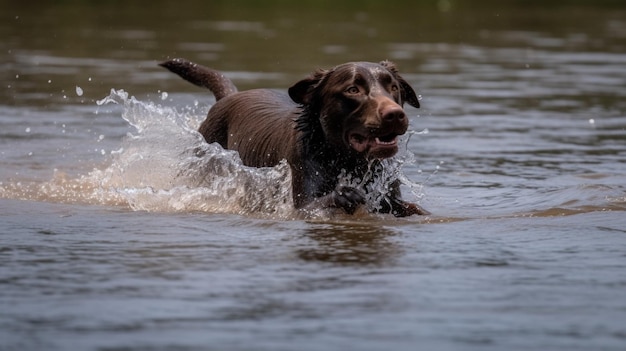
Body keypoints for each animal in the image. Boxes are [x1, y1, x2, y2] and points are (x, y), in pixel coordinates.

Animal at [158, 58, 426, 217]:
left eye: (394, 88)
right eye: (353, 90)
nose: (395, 114)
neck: (345, 160)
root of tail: (228, 96)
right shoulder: (302, 203)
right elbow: (331, 198)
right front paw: (347, 194)